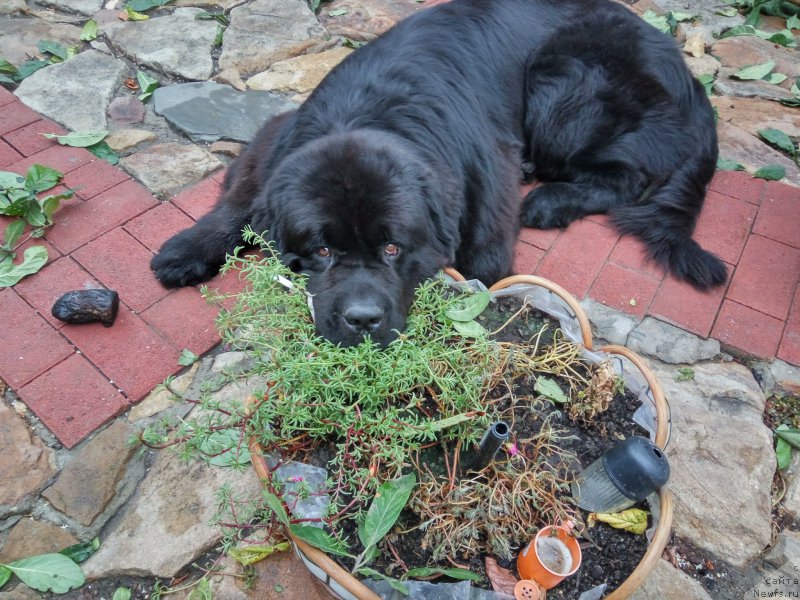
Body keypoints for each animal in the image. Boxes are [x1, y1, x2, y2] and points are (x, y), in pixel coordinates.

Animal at [152, 0, 724, 346]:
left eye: (393, 249)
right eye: (321, 251)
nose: (363, 319)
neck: (372, 112)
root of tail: (686, 70)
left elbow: (483, 268)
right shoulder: (279, 135)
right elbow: (242, 196)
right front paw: (185, 250)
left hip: (563, 83)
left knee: (630, 175)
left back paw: (549, 200)